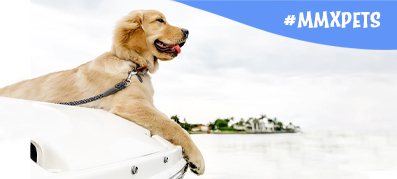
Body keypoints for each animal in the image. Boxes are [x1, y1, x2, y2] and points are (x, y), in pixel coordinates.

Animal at [0, 9, 204, 175]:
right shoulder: (130, 105)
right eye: (160, 20)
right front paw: (198, 159)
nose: (187, 31)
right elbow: (174, 126)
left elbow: (168, 121)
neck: (132, 65)